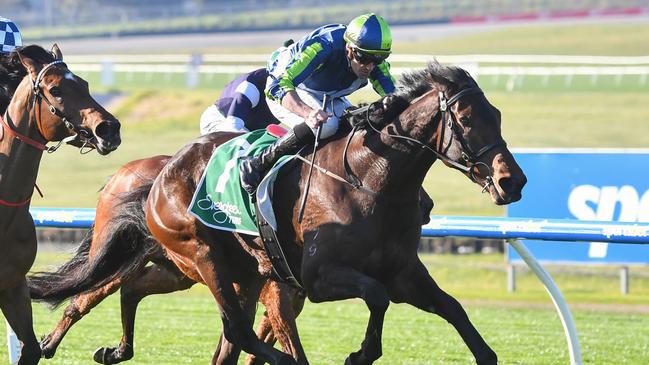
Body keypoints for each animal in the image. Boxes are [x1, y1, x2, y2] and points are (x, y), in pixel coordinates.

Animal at [27, 153, 306, 364]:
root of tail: (121, 173)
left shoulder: (280, 300)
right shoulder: (275, 296)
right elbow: (286, 347)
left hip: (176, 270)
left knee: (131, 290)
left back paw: (113, 351)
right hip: (126, 258)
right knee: (85, 298)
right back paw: (49, 344)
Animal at [144, 63, 524, 364]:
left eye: (498, 115)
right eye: (466, 119)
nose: (512, 180)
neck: (369, 178)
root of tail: (165, 171)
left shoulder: (403, 272)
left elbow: (457, 313)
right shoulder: (318, 276)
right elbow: (377, 295)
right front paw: (360, 354)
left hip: (248, 273)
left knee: (231, 340)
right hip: (204, 256)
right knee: (239, 330)